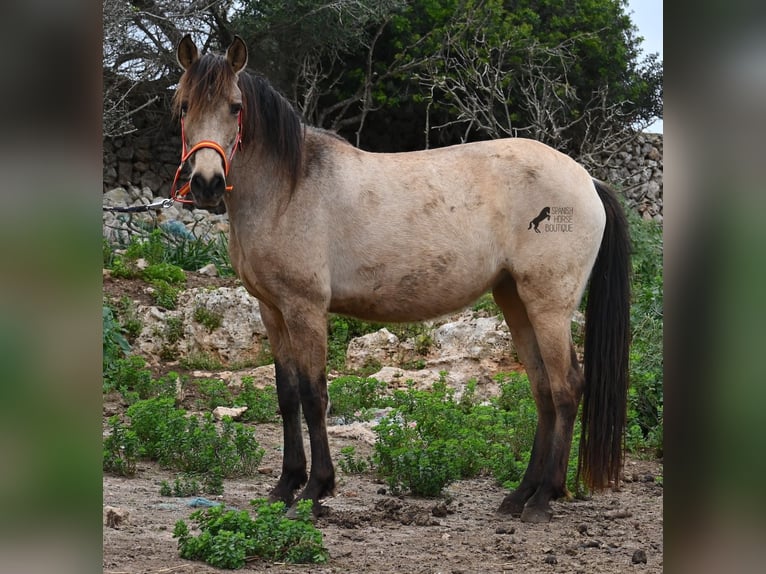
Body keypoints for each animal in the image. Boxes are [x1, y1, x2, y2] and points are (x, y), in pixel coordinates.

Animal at [172, 33, 632, 524]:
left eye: (235, 106)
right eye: (183, 106)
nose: (205, 183)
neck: (288, 187)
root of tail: (587, 180)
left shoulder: (305, 308)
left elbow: (314, 396)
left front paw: (316, 489)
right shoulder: (271, 309)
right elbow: (287, 395)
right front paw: (284, 486)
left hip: (549, 307)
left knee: (566, 388)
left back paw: (545, 498)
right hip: (516, 302)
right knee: (543, 390)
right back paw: (519, 495)